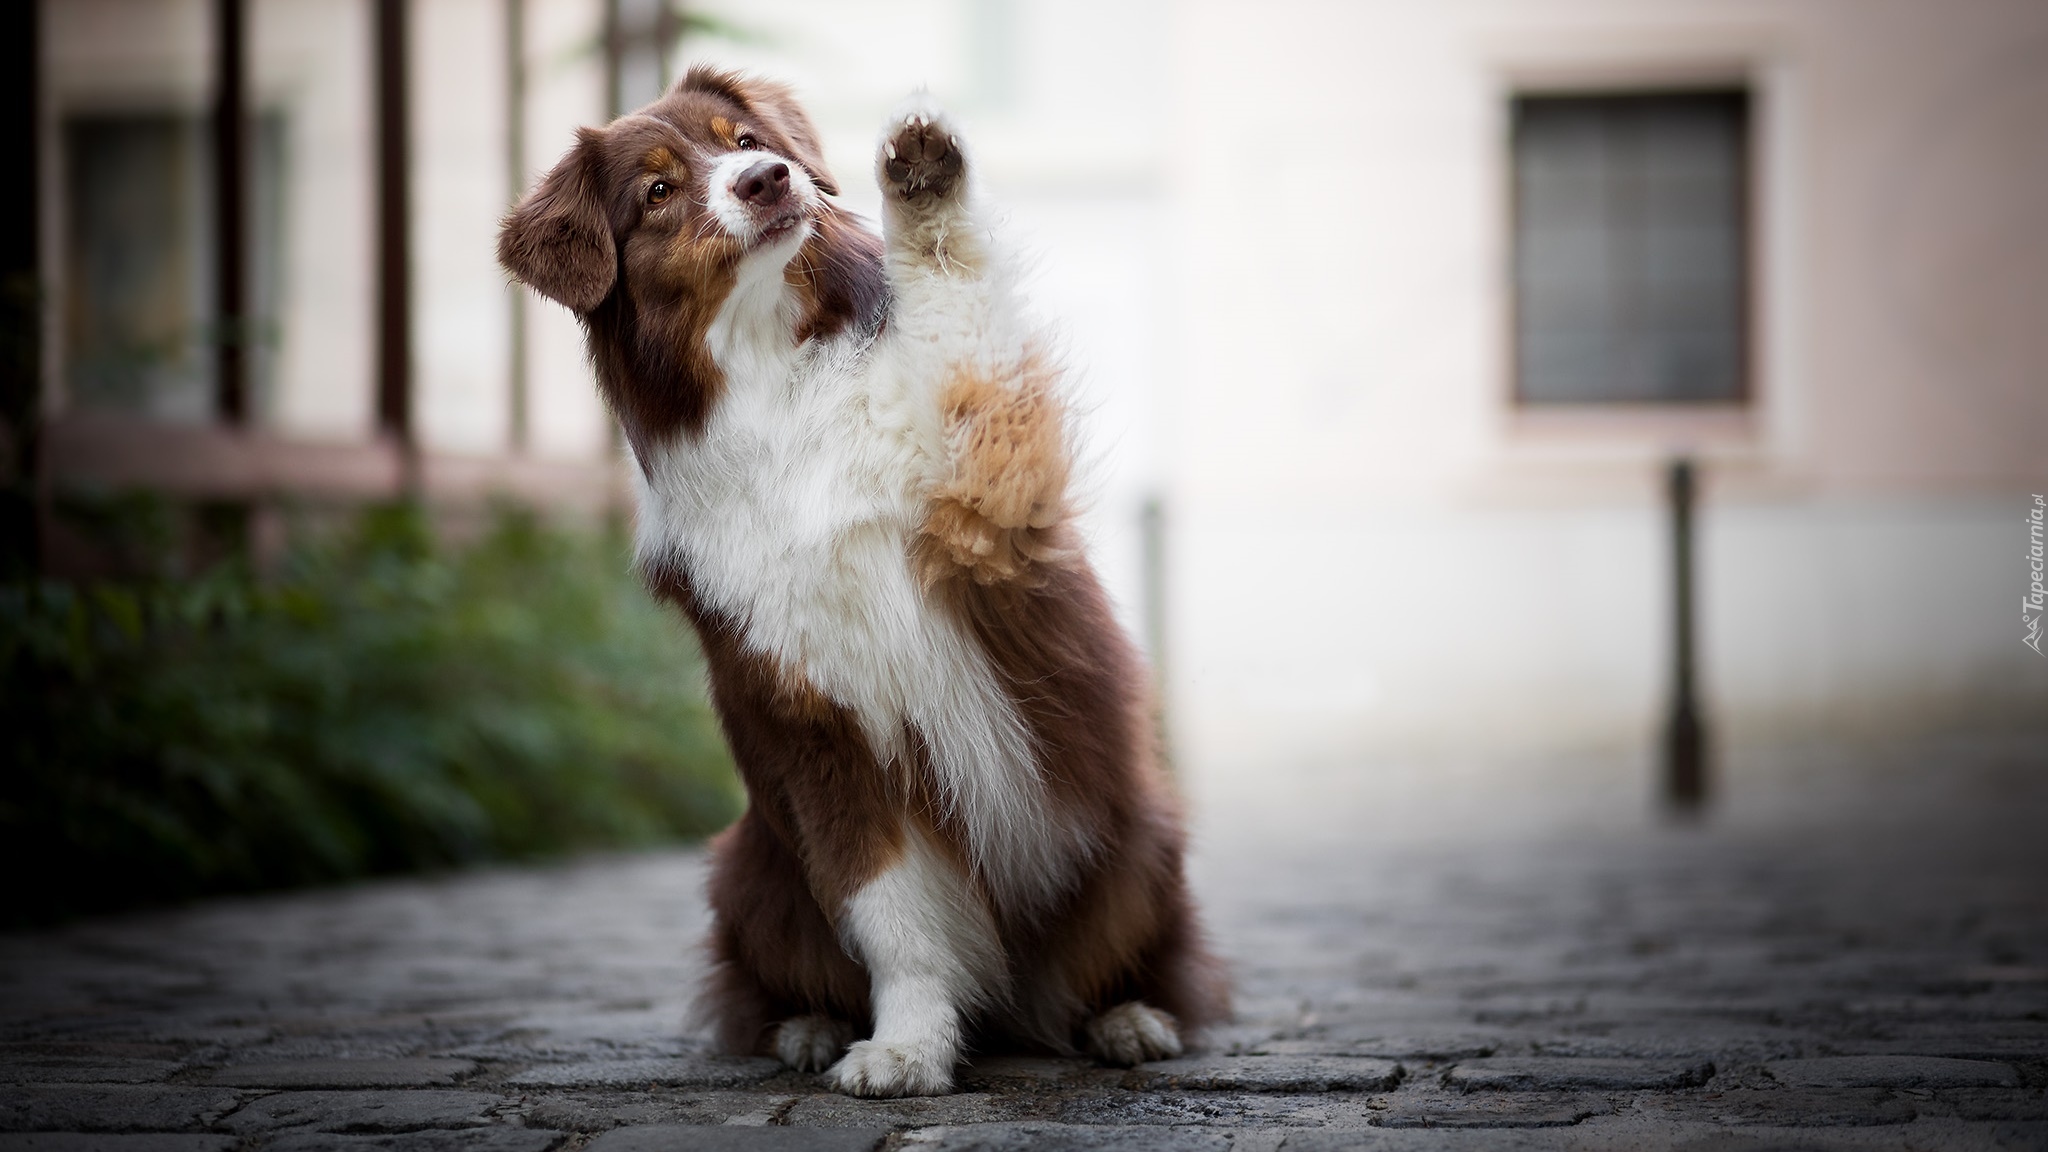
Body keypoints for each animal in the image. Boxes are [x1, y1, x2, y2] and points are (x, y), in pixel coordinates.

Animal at [501, 69, 1220, 1090]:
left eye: (748, 140)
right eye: (658, 191)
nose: (767, 180)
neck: (775, 376)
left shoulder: (983, 493)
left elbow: (956, 307)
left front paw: (923, 176)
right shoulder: (822, 729)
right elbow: (893, 913)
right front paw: (908, 1045)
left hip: (1139, 841)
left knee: (1126, 967)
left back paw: (1127, 1019)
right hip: (747, 873)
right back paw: (805, 1028)